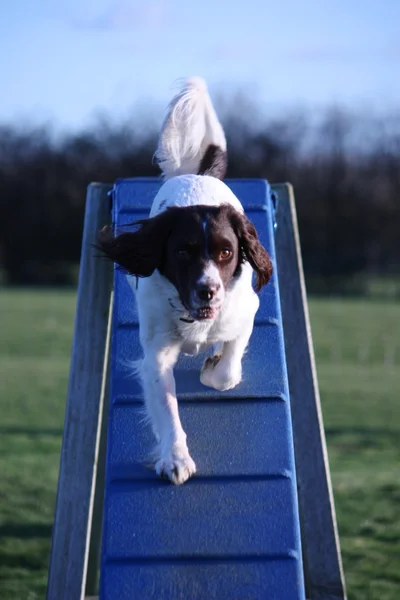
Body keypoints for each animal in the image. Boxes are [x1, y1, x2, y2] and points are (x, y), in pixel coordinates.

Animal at [98, 77, 272, 486]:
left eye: (226, 252)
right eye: (181, 252)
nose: (207, 290)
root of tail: (198, 176)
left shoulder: (246, 312)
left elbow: (228, 370)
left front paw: (214, 367)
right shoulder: (156, 354)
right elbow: (167, 408)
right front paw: (175, 458)